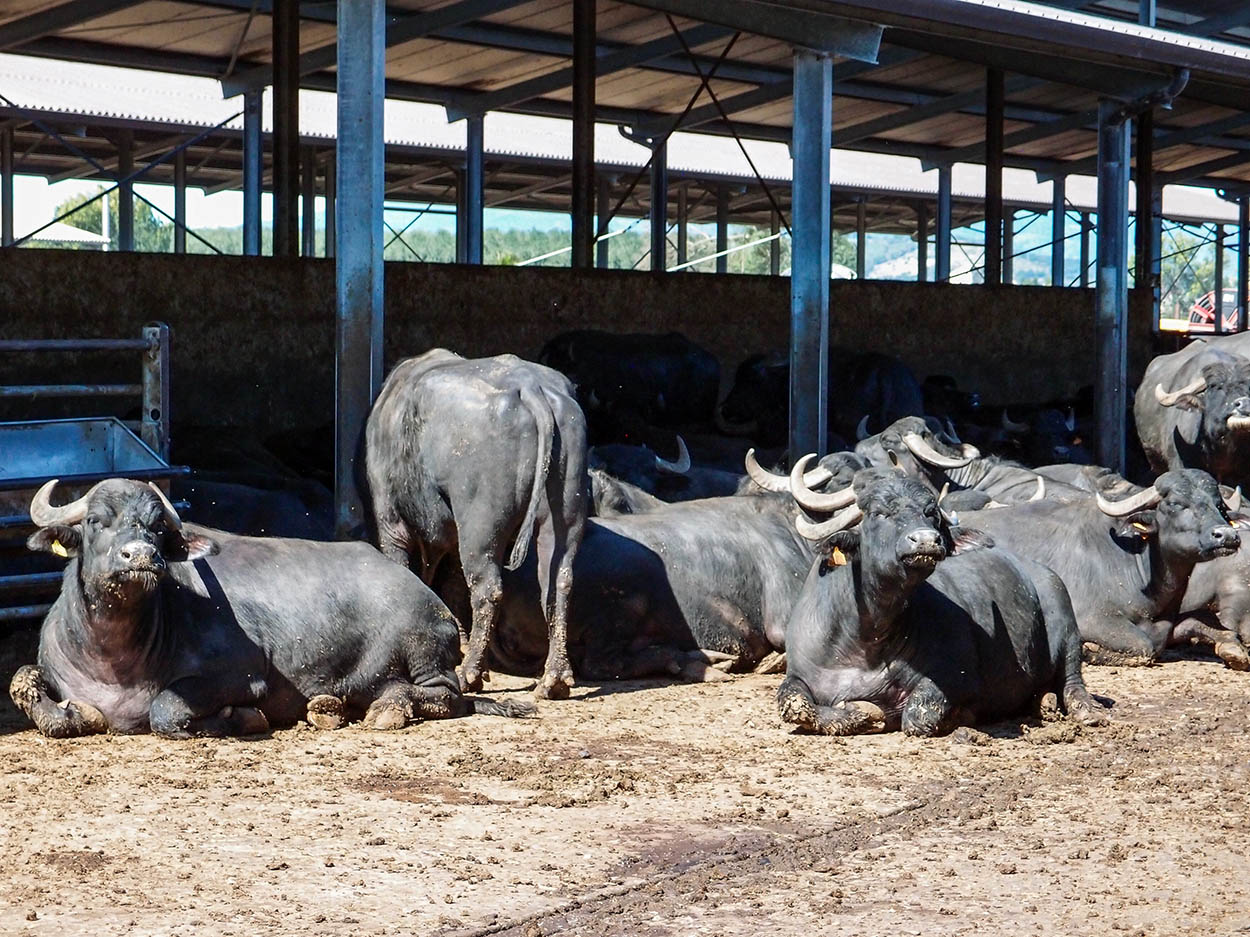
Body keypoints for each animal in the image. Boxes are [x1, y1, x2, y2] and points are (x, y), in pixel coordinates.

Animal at [11, 479, 527, 739]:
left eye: (158, 527)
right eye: (96, 522)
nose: (140, 555)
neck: (114, 656)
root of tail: (431, 598)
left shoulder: (242, 675)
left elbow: (165, 710)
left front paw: (242, 718)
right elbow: (26, 685)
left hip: (424, 650)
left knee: (447, 696)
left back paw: (386, 709)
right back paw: (331, 707)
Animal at [365, 352, 590, 704]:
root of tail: (531, 387)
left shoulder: (391, 521)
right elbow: (452, 586)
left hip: (480, 524)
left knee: (487, 588)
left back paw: (470, 673)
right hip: (563, 516)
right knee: (558, 584)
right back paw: (554, 678)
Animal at [775, 467, 1110, 739]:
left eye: (930, 512)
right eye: (879, 513)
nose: (925, 540)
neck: (865, 639)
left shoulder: (958, 677)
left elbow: (917, 714)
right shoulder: (798, 674)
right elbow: (793, 704)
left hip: (1066, 624)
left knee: (1072, 680)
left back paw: (1085, 711)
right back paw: (1045, 701)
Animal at [955, 469, 1240, 669]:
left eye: (1219, 505)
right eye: (1175, 504)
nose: (1226, 536)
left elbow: (1204, 623)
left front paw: (1233, 650)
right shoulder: (1093, 619)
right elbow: (1144, 646)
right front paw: (1089, 651)